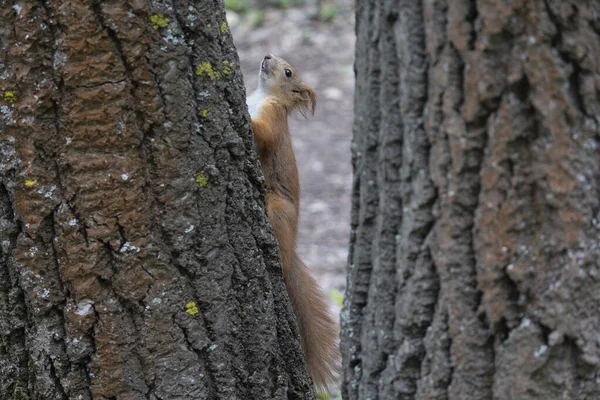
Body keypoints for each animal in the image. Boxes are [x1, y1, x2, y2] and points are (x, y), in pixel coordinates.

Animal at [246, 54, 340, 390]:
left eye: (288, 72)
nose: (266, 56)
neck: (261, 96)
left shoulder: (273, 119)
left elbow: (263, 134)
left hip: (278, 209)